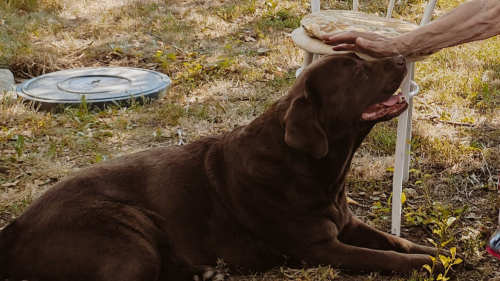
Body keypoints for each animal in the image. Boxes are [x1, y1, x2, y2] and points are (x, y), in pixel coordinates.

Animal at [0, 53, 446, 278]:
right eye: (355, 70)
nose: (401, 54)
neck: (312, 170)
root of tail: (14, 228)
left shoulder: (347, 224)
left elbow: (395, 242)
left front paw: (433, 250)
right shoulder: (320, 248)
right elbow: (386, 258)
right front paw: (427, 264)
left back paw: (205, 273)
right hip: (128, 236)